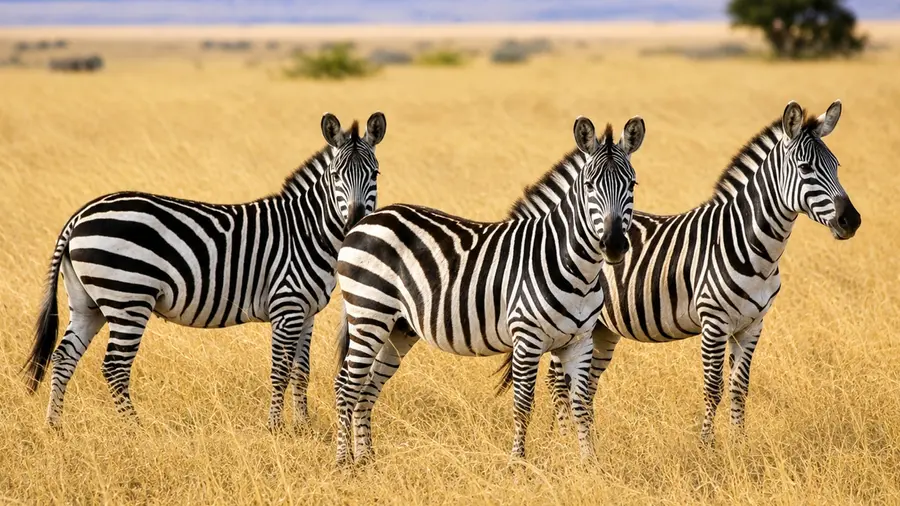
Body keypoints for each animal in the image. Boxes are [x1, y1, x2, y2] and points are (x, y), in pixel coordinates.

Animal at [22, 112, 387, 431]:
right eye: (335, 175)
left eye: (375, 174)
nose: (355, 220)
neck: (308, 229)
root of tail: (81, 214)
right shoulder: (287, 306)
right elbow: (280, 370)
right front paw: (275, 428)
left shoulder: (306, 312)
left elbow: (301, 371)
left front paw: (303, 425)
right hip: (127, 297)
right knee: (114, 367)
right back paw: (134, 428)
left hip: (88, 302)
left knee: (63, 357)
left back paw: (55, 426)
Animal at [332, 115, 646, 464]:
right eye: (590, 185)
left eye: (632, 185)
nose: (614, 245)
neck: (574, 266)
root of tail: (366, 220)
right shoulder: (527, 339)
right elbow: (523, 406)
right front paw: (517, 464)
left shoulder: (580, 341)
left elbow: (582, 407)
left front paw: (588, 464)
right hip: (369, 312)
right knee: (346, 386)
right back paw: (344, 462)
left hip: (398, 327)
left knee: (366, 388)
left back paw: (366, 460)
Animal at [495, 100, 860, 444]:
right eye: (806, 168)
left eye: (837, 166)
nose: (851, 221)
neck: (749, 243)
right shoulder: (714, 322)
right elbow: (713, 388)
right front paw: (708, 448)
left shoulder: (753, 325)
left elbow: (740, 387)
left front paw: (740, 445)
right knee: (558, 384)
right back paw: (566, 442)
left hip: (601, 328)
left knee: (583, 388)